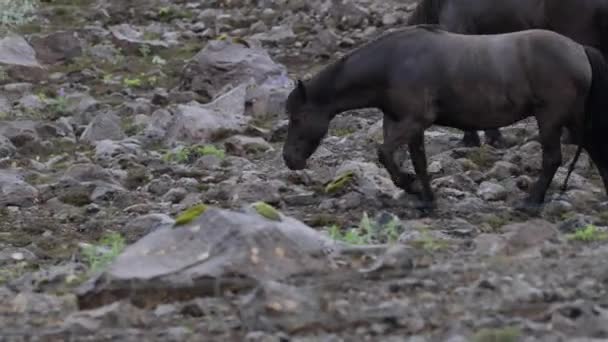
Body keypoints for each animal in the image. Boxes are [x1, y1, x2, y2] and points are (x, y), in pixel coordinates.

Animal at [282, 26, 608, 212]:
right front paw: (426, 199)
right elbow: (417, 160)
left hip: (550, 118)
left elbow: (386, 154)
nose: (289, 159)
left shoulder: (415, 120)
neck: (394, 62)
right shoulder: (402, 122)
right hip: (574, 120)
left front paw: (411, 186)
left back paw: (530, 203)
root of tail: (579, 49)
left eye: (297, 118)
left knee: (552, 159)